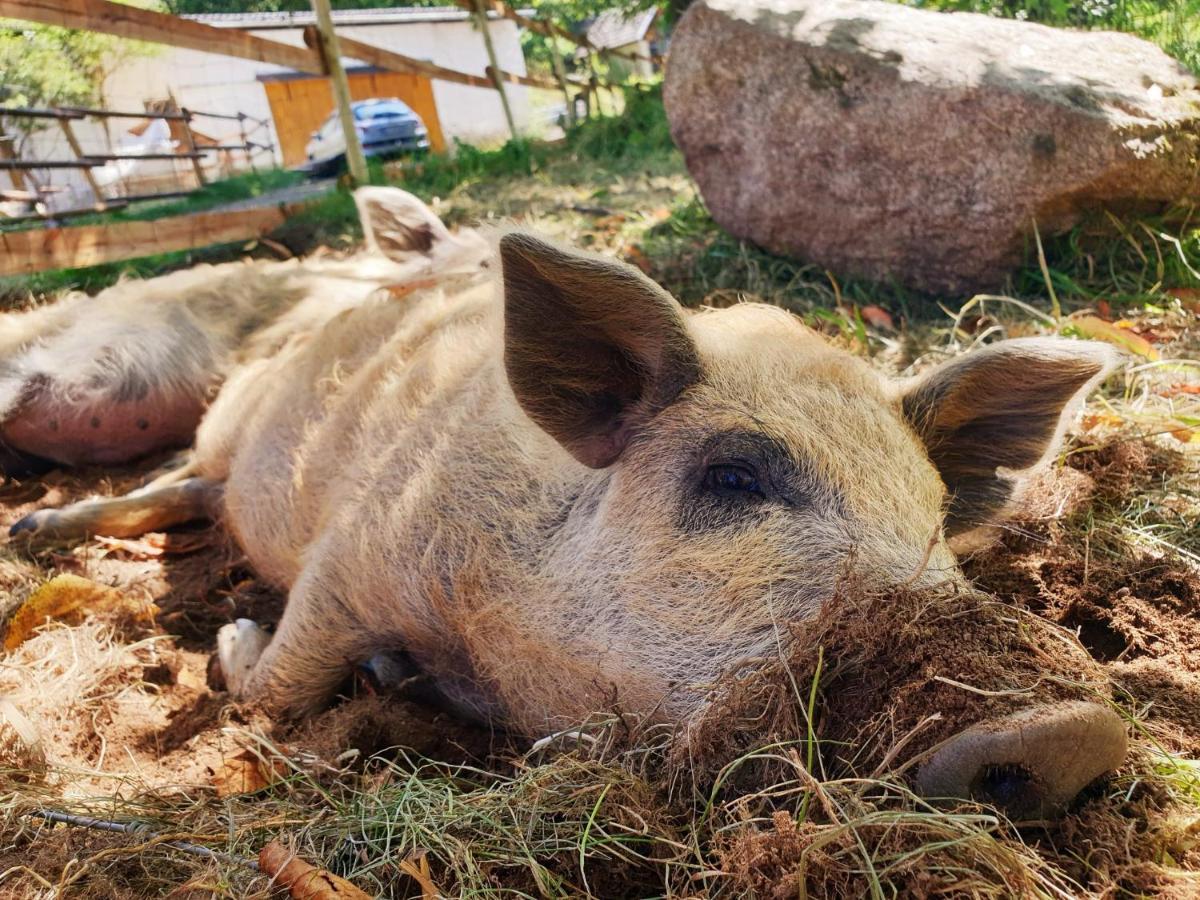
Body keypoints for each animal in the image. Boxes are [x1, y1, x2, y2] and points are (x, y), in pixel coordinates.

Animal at [7, 188, 1123, 816]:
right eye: (733, 476)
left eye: (934, 519)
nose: (1066, 732)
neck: (501, 664)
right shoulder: (352, 552)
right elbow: (278, 687)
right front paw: (240, 637)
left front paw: (384, 675)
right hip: (220, 432)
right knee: (173, 485)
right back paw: (34, 529)